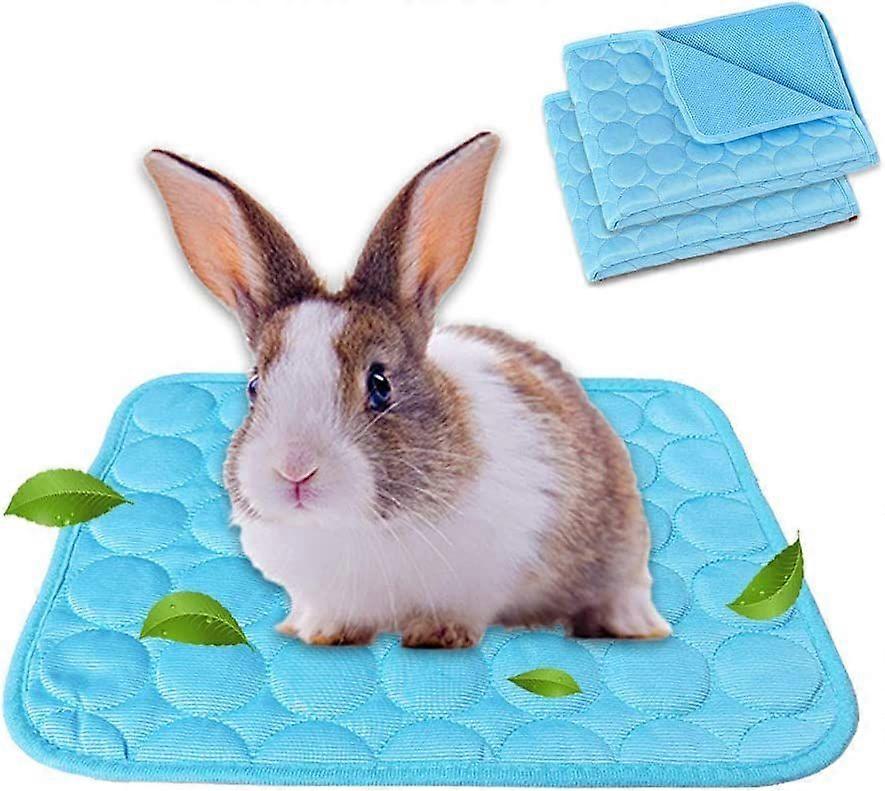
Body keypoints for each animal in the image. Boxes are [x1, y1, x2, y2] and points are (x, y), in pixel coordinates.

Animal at [144, 133, 670, 648]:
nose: (294, 470)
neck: (347, 529)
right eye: (255, 385)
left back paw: (631, 625)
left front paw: (438, 634)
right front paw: (325, 634)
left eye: (379, 384)